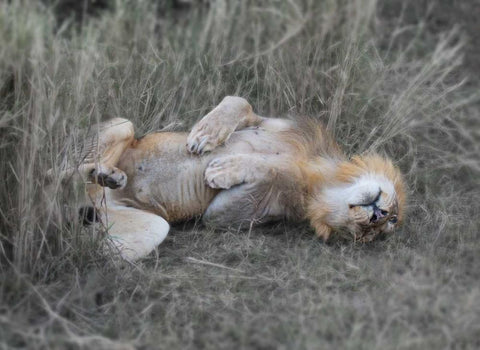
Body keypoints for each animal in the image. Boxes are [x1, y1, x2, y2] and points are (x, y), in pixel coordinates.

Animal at [56, 95, 404, 260]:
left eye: (373, 234)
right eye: (394, 218)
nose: (377, 216)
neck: (321, 179)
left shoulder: (231, 215)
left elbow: (275, 170)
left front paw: (222, 169)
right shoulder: (269, 121)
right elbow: (239, 102)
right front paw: (204, 135)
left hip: (149, 228)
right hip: (122, 125)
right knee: (56, 170)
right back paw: (103, 173)